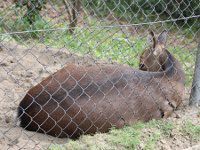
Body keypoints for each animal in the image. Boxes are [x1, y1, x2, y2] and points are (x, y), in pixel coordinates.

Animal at [17, 30, 184, 138]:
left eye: (142, 63)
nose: (140, 65)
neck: (172, 79)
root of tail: (23, 109)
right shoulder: (165, 111)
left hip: (70, 67)